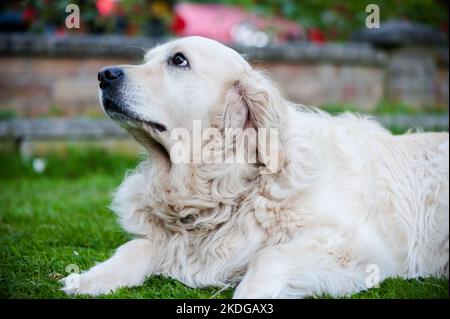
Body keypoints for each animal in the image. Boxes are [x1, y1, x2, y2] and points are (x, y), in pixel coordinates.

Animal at [60, 36, 450, 298]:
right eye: (147, 59)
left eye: (178, 60)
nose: (103, 73)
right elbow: (138, 246)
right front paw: (89, 278)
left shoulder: (356, 248)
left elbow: (270, 257)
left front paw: (250, 294)